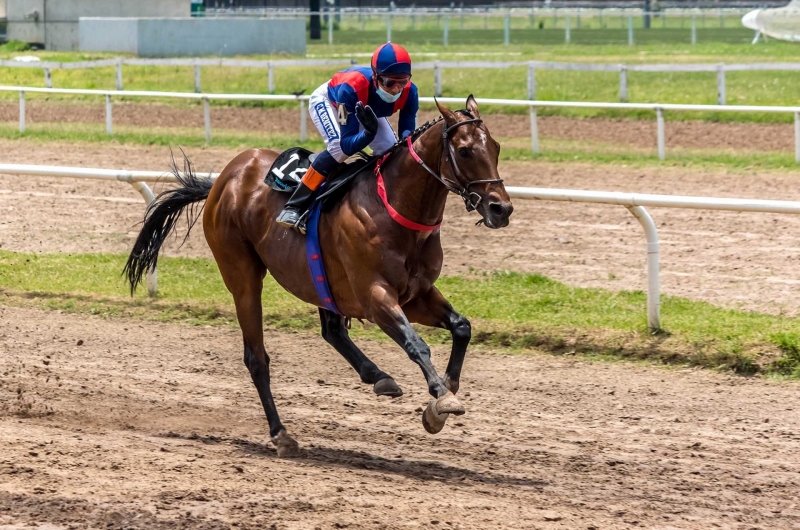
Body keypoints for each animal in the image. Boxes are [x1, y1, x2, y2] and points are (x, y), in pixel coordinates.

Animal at [125, 97, 512, 456]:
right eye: (464, 150)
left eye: (495, 146)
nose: (501, 208)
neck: (395, 209)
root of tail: (223, 178)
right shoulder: (375, 296)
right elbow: (416, 344)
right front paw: (442, 399)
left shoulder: (416, 294)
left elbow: (461, 326)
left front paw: (444, 391)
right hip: (242, 275)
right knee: (257, 358)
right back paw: (281, 434)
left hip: (320, 281)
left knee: (332, 330)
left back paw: (378, 376)